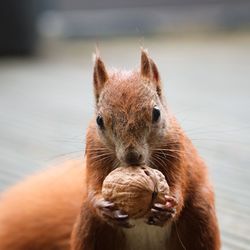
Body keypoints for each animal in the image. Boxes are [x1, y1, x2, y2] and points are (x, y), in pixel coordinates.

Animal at [0, 48, 220, 250]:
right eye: (99, 120)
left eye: (156, 113)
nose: (132, 157)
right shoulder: (94, 153)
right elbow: (93, 184)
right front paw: (103, 206)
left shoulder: (177, 150)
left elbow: (179, 182)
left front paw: (169, 206)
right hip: (90, 230)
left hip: (200, 223)